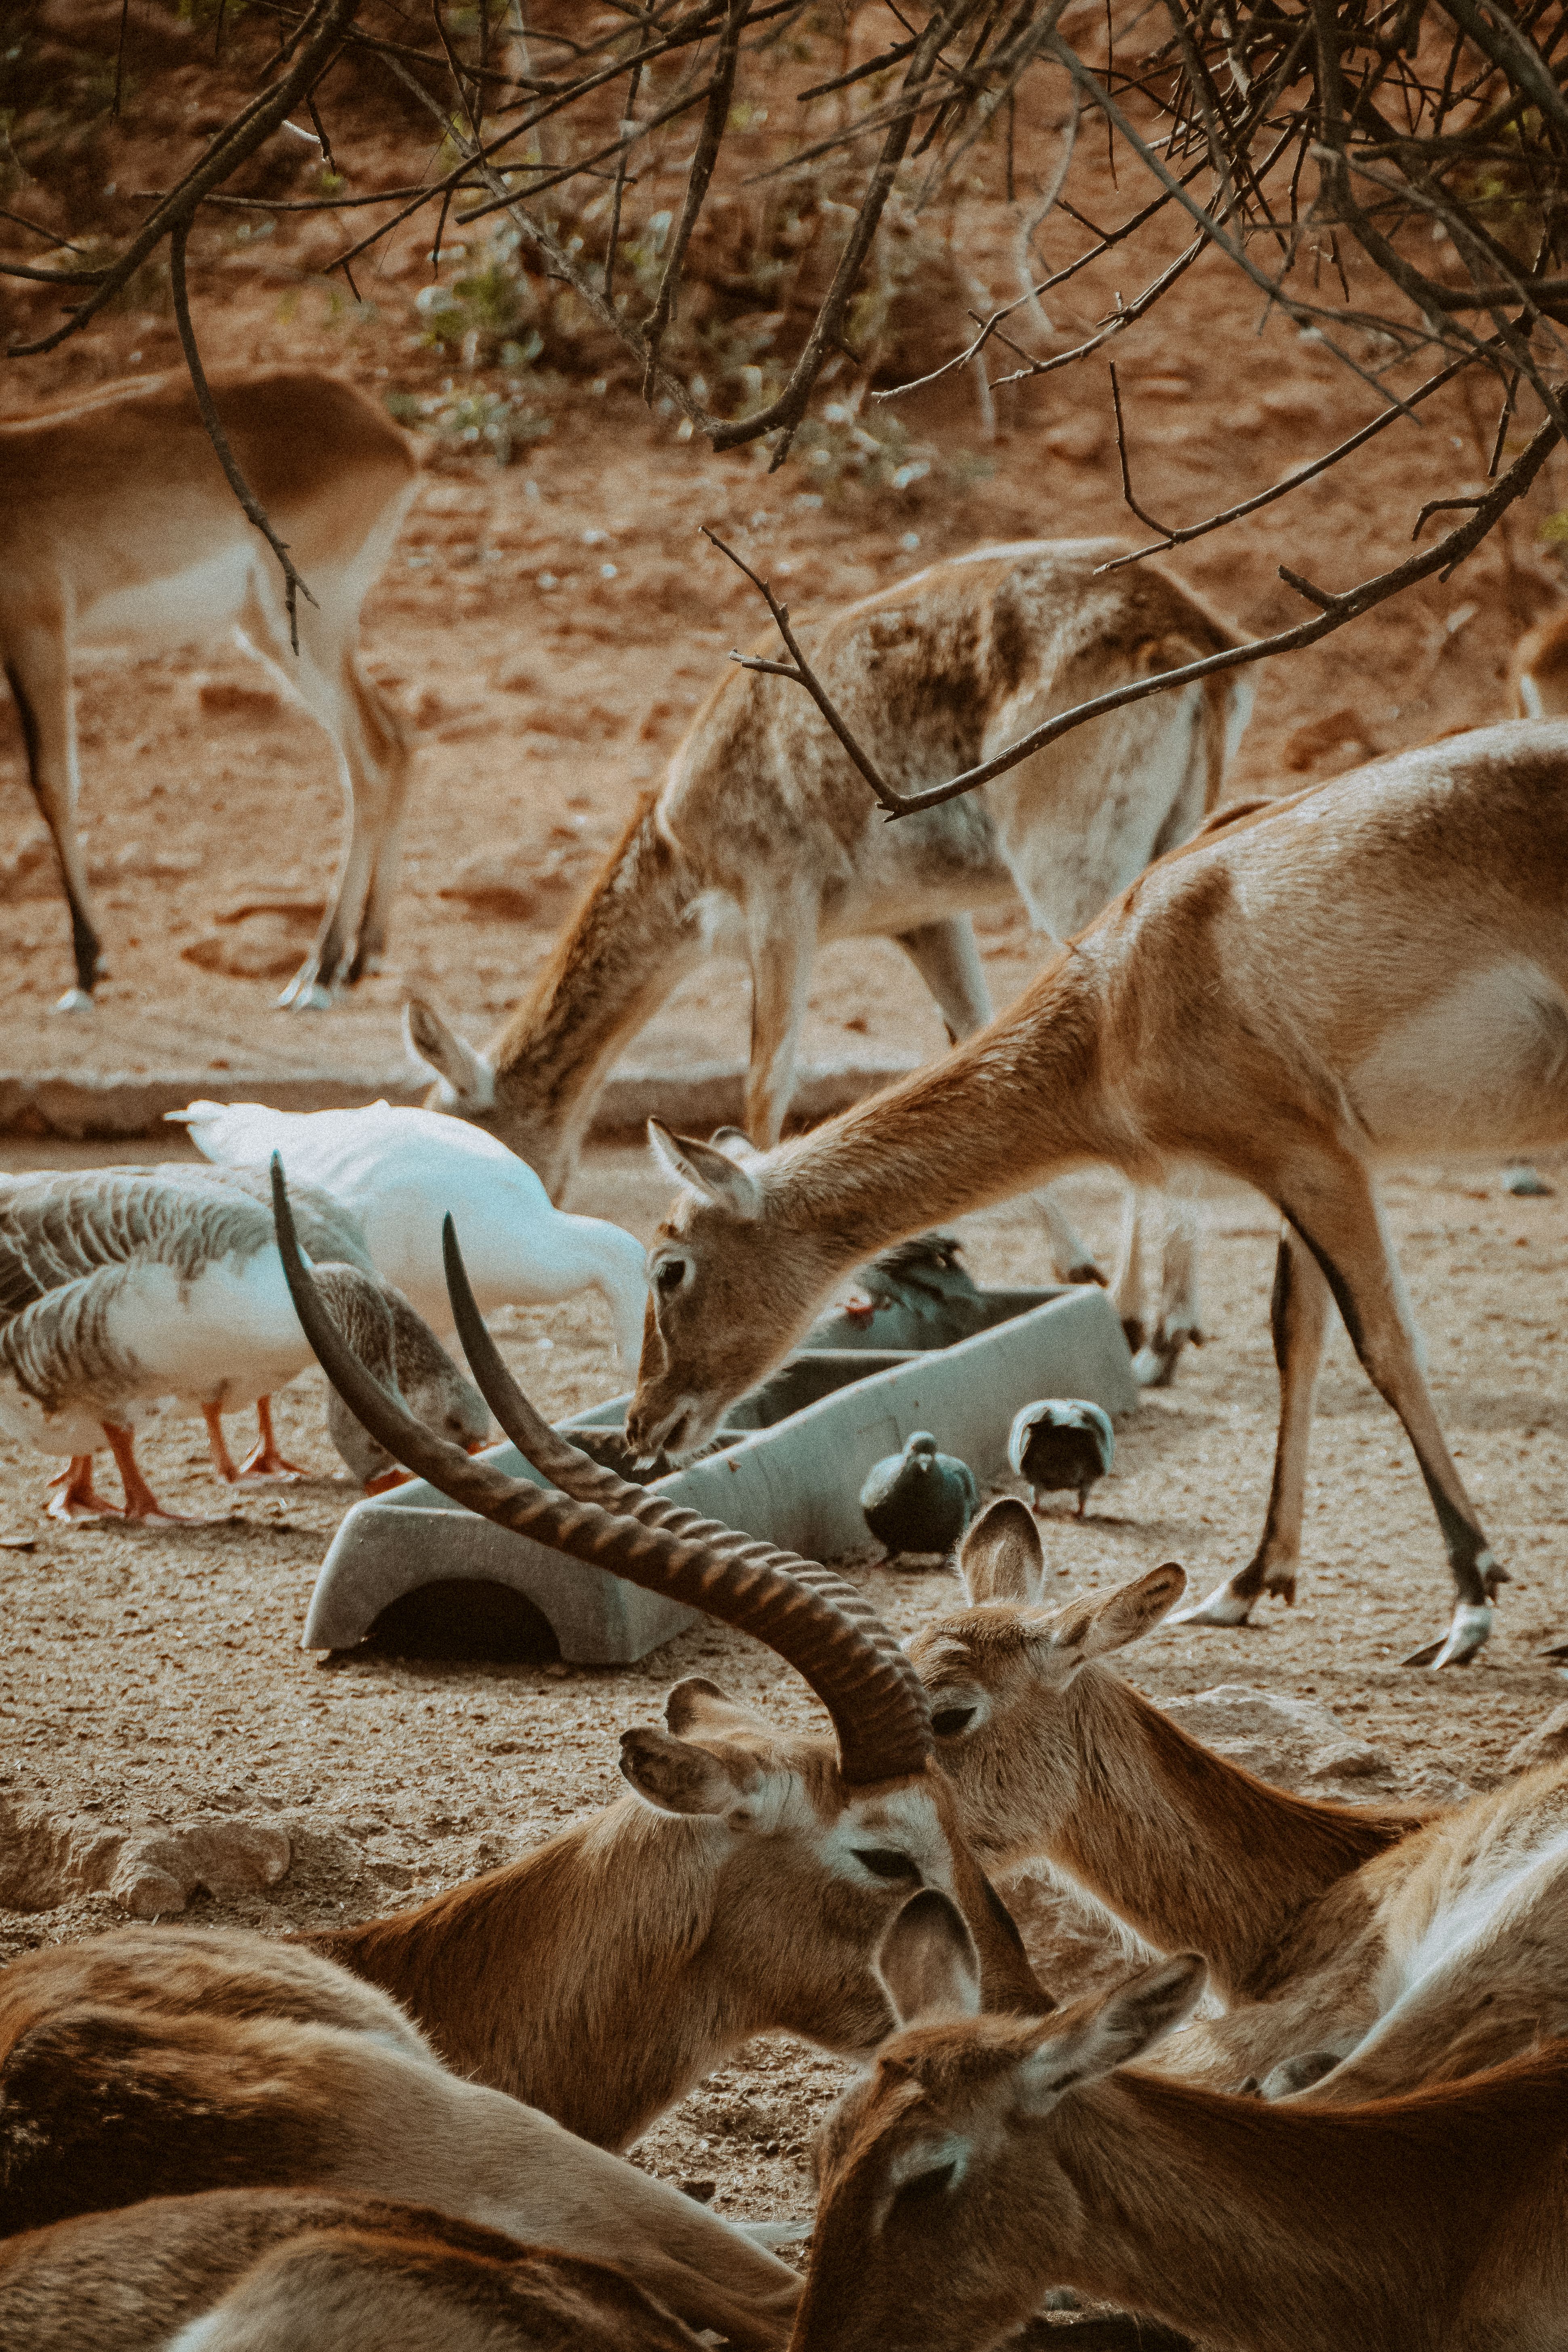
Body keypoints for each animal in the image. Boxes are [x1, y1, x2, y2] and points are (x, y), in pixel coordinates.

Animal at [0, 366, 419, 1012]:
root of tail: (391, 438)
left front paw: (87, 971)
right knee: (393, 740)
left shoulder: (38, 632)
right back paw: (358, 958)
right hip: (275, 630)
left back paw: (318, 973)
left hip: (301, 626)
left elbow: (51, 785)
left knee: (375, 751)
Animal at [405, 538, 1253, 1380]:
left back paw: (1146, 1329)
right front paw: (1074, 1266)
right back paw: (1169, 1322)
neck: (682, 854)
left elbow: (766, 1081)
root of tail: (1196, 640)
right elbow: (974, 1039)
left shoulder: (780, 892)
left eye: (466, 1146)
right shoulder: (923, 917)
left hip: (1068, 858)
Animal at [627, 721, 1568, 1670]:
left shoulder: (1313, 1162)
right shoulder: (1307, 1165)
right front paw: (1244, 1584)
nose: (641, 1424)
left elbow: (1384, 1345)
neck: (1116, 1000)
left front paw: (1468, 1599)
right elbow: (1295, 1339)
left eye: (668, 1265)